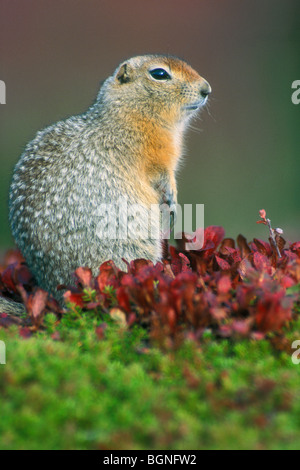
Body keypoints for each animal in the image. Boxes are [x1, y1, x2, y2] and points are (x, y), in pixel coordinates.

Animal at [3, 54, 212, 312]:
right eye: (159, 74)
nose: (206, 89)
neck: (128, 113)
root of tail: (58, 297)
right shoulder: (154, 157)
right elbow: (163, 177)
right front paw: (172, 202)